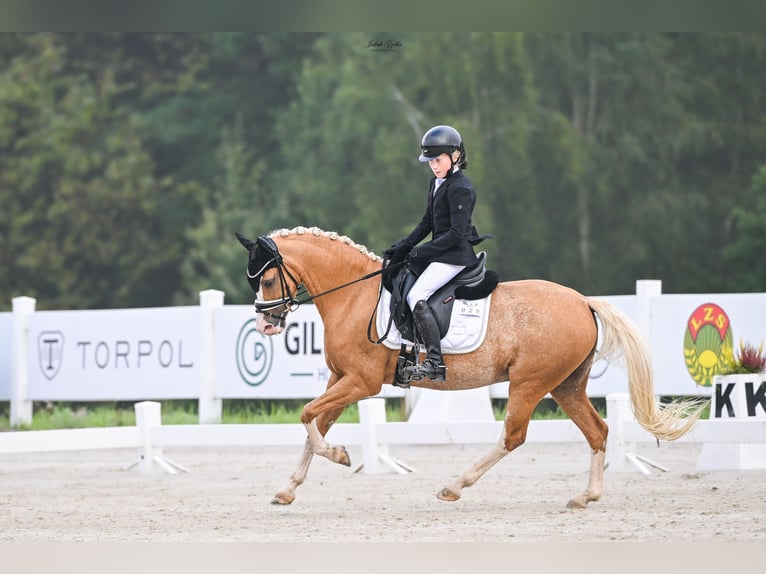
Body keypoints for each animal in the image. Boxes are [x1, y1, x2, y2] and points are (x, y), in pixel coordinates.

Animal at [235, 226, 706, 508]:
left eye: (268, 279)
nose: (266, 324)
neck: (354, 297)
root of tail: (583, 301)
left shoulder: (361, 382)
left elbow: (307, 416)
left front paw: (339, 455)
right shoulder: (340, 379)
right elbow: (315, 423)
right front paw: (288, 489)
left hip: (530, 383)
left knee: (514, 436)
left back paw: (454, 486)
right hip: (566, 384)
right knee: (598, 431)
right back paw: (585, 496)